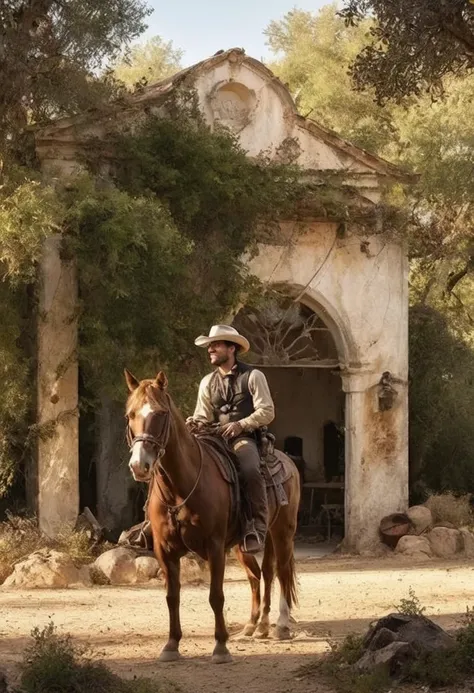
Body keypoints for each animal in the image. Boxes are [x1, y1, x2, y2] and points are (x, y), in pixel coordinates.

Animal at [124, 370, 298, 664]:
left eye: (160, 413)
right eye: (130, 414)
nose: (139, 465)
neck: (180, 488)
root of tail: (287, 461)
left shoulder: (215, 546)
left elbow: (216, 596)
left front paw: (220, 647)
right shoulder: (164, 550)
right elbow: (172, 596)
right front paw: (171, 645)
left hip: (282, 532)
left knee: (282, 572)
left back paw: (281, 627)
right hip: (245, 545)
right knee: (259, 575)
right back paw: (255, 626)